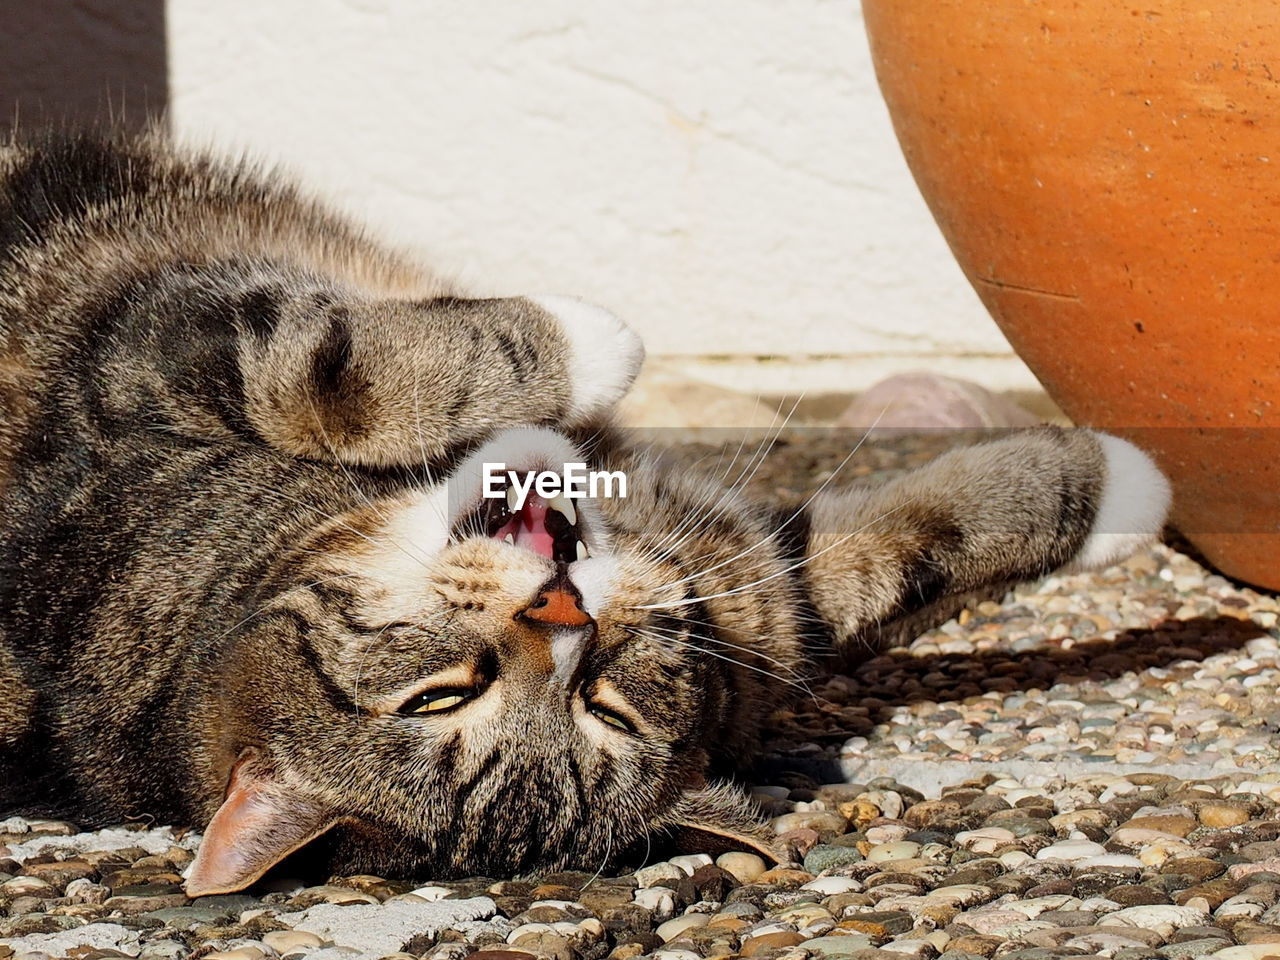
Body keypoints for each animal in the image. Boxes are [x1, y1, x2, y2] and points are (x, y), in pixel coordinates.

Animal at [0, 131, 1172, 901]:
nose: (566, 614)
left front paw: (1122, 489)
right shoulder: (142, 357)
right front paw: (592, 339)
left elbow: (903, 552)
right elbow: (324, 366)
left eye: (604, 705)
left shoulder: (753, 588)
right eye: (441, 696)